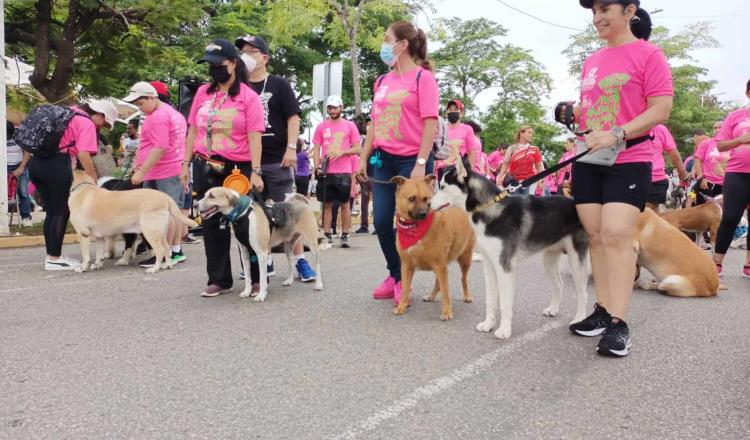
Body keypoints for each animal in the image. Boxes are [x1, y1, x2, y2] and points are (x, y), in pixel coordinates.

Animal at [68, 170, 198, 274]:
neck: (83, 188)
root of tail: (165, 197)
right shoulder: (99, 237)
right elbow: (99, 254)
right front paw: (97, 265)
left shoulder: (83, 234)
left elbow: (86, 256)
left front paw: (83, 268)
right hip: (160, 233)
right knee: (166, 248)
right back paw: (167, 265)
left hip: (150, 233)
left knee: (160, 251)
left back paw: (154, 269)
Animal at [390, 174, 478, 322]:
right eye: (412, 198)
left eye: (426, 199)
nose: (423, 214)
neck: (415, 229)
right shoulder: (407, 266)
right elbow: (405, 289)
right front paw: (402, 306)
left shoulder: (440, 265)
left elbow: (446, 292)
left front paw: (447, 312)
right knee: (438, 283)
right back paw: (431, 296)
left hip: (465, 259)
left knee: (463, 279)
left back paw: (467, 296)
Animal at [432, 158, 592, 340]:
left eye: (443, 187)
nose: (428, 204)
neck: (489, 208)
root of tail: (576, 203)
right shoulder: (489, 265)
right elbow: (491, 300)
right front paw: (488, 324)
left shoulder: (504, 267)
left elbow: (505, 303)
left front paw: (504, 330)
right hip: (549, 260)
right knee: (559, 284)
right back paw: (553, 310)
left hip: (576, 261)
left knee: (582, 293)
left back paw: (578, 320)